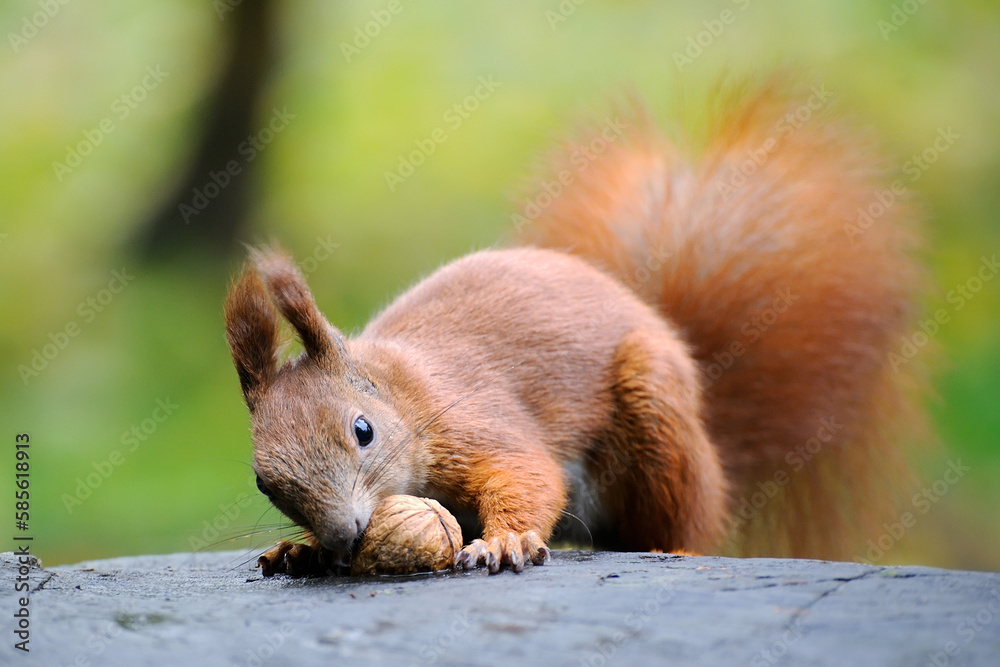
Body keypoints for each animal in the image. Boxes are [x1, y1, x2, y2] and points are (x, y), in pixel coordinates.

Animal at [225, 78, 924, 575]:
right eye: (262, 482)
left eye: (363, 431)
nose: (345, 539)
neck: (403, 392)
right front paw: (300, 549)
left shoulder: (474, 420)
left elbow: (527, 473)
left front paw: (505, 541)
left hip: (657, 417)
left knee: (679, 520)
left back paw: (676, 550)